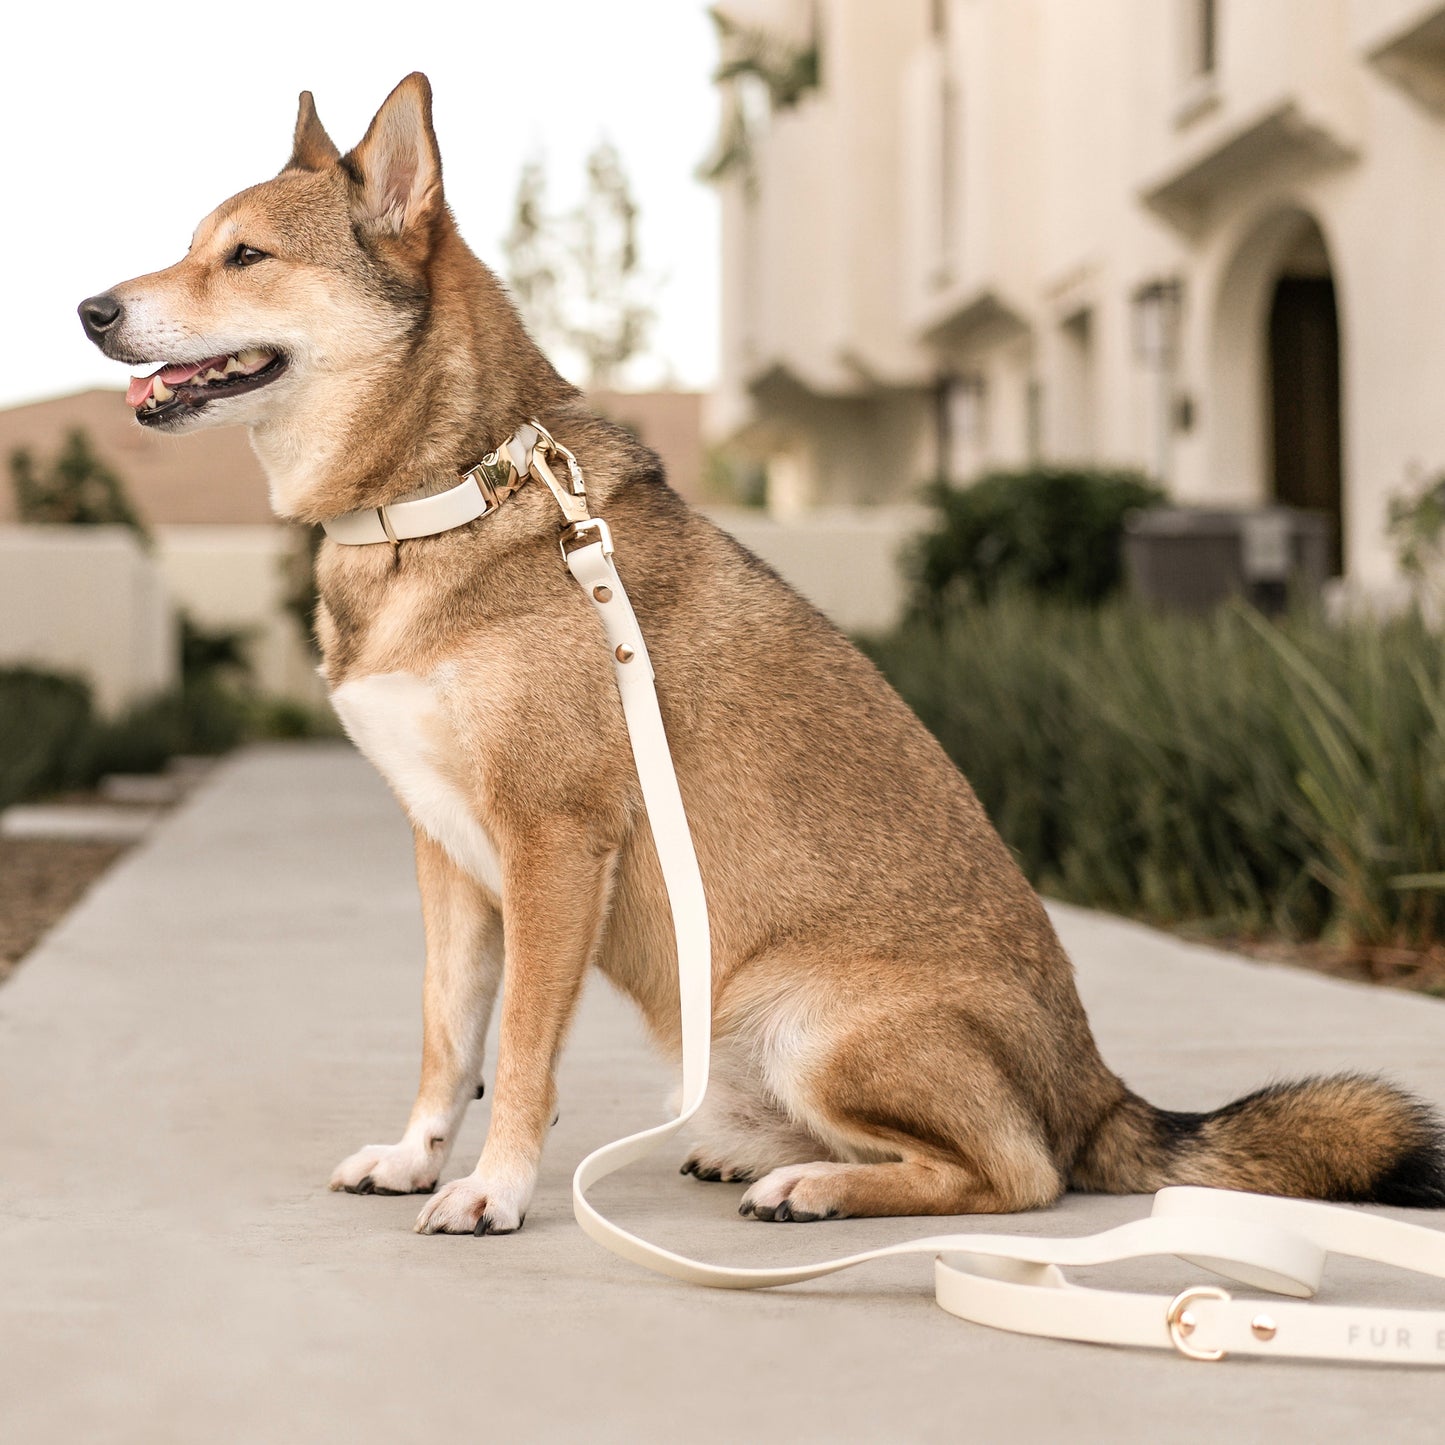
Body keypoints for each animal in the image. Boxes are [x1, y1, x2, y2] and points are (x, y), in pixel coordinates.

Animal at [79, 73, 1445, 1236]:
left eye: (244, 256)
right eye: (197, 242)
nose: (89, 309)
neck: (449, 493)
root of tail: (1095, 1090)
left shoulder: (552, 841)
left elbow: (515, 1049)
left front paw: (492, 1188)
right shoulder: (448, 854)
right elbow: (444, 1035)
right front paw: (418, 1154)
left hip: (814, 1021)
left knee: (1017, 1172)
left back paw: (816, 1185)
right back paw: (757, 1151)